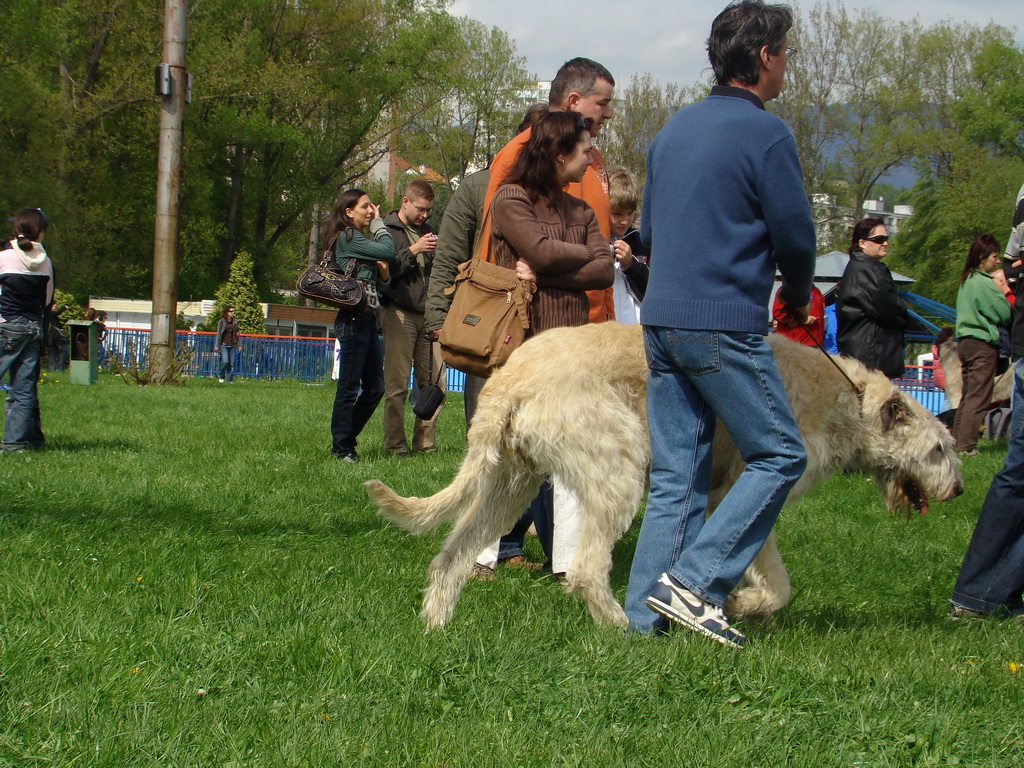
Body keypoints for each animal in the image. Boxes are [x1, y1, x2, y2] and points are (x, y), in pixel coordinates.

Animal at [364, 321, 962, 626]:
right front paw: (739, 605)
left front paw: (703, 599)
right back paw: (620, 626)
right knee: (585, 569)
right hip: (615, 465)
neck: (847, 400)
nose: (957, 490)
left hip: (510, 479)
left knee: (452, 554)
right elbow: (777, 584)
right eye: (939, 449)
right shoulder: (750, 487)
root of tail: (510, 379)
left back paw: (436, 625)